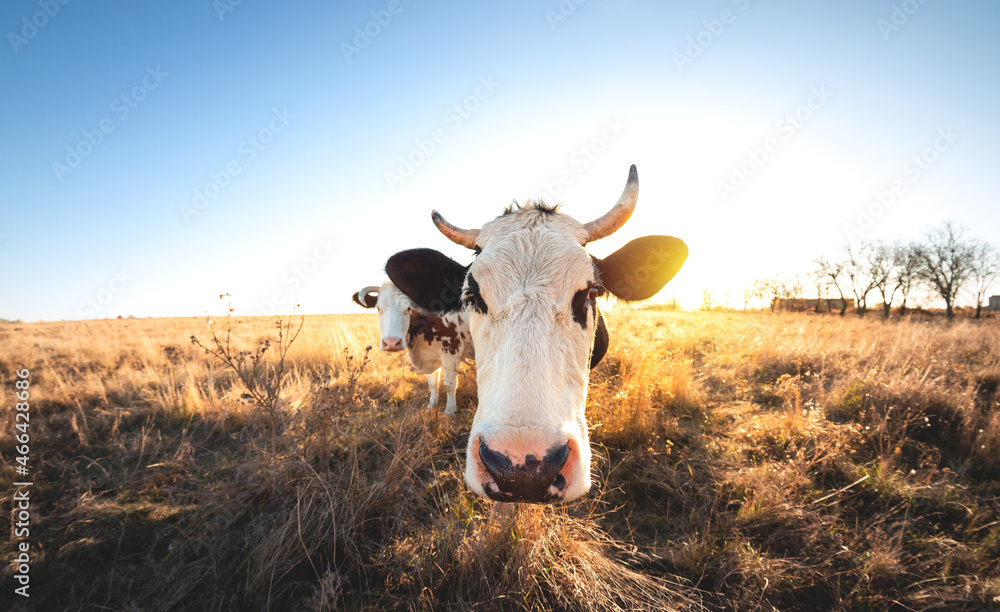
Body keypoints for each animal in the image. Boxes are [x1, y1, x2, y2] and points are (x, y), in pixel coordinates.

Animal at [354, 282, 474, 416]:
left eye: (408, 308)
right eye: (378, 308)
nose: (391, 343)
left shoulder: (451, 351)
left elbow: (450, 385)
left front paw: (449, 411)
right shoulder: (431, 356)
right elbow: (433, 383)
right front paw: (432, 406)